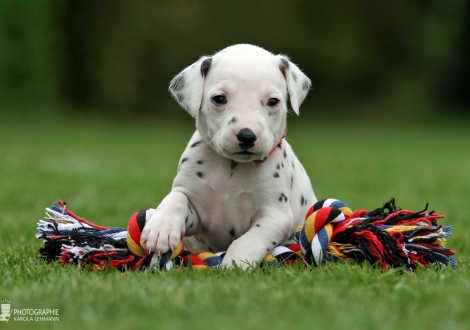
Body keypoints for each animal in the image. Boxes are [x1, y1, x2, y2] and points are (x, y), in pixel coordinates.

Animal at [140, 43, 316, 268]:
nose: (247, 135)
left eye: (273, 101)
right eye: (219, 99)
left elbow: (247, 241)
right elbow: (176, 198)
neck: (232, 167)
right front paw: (161, 228)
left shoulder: (275, 217)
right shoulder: (196, 213)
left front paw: (233, 265)